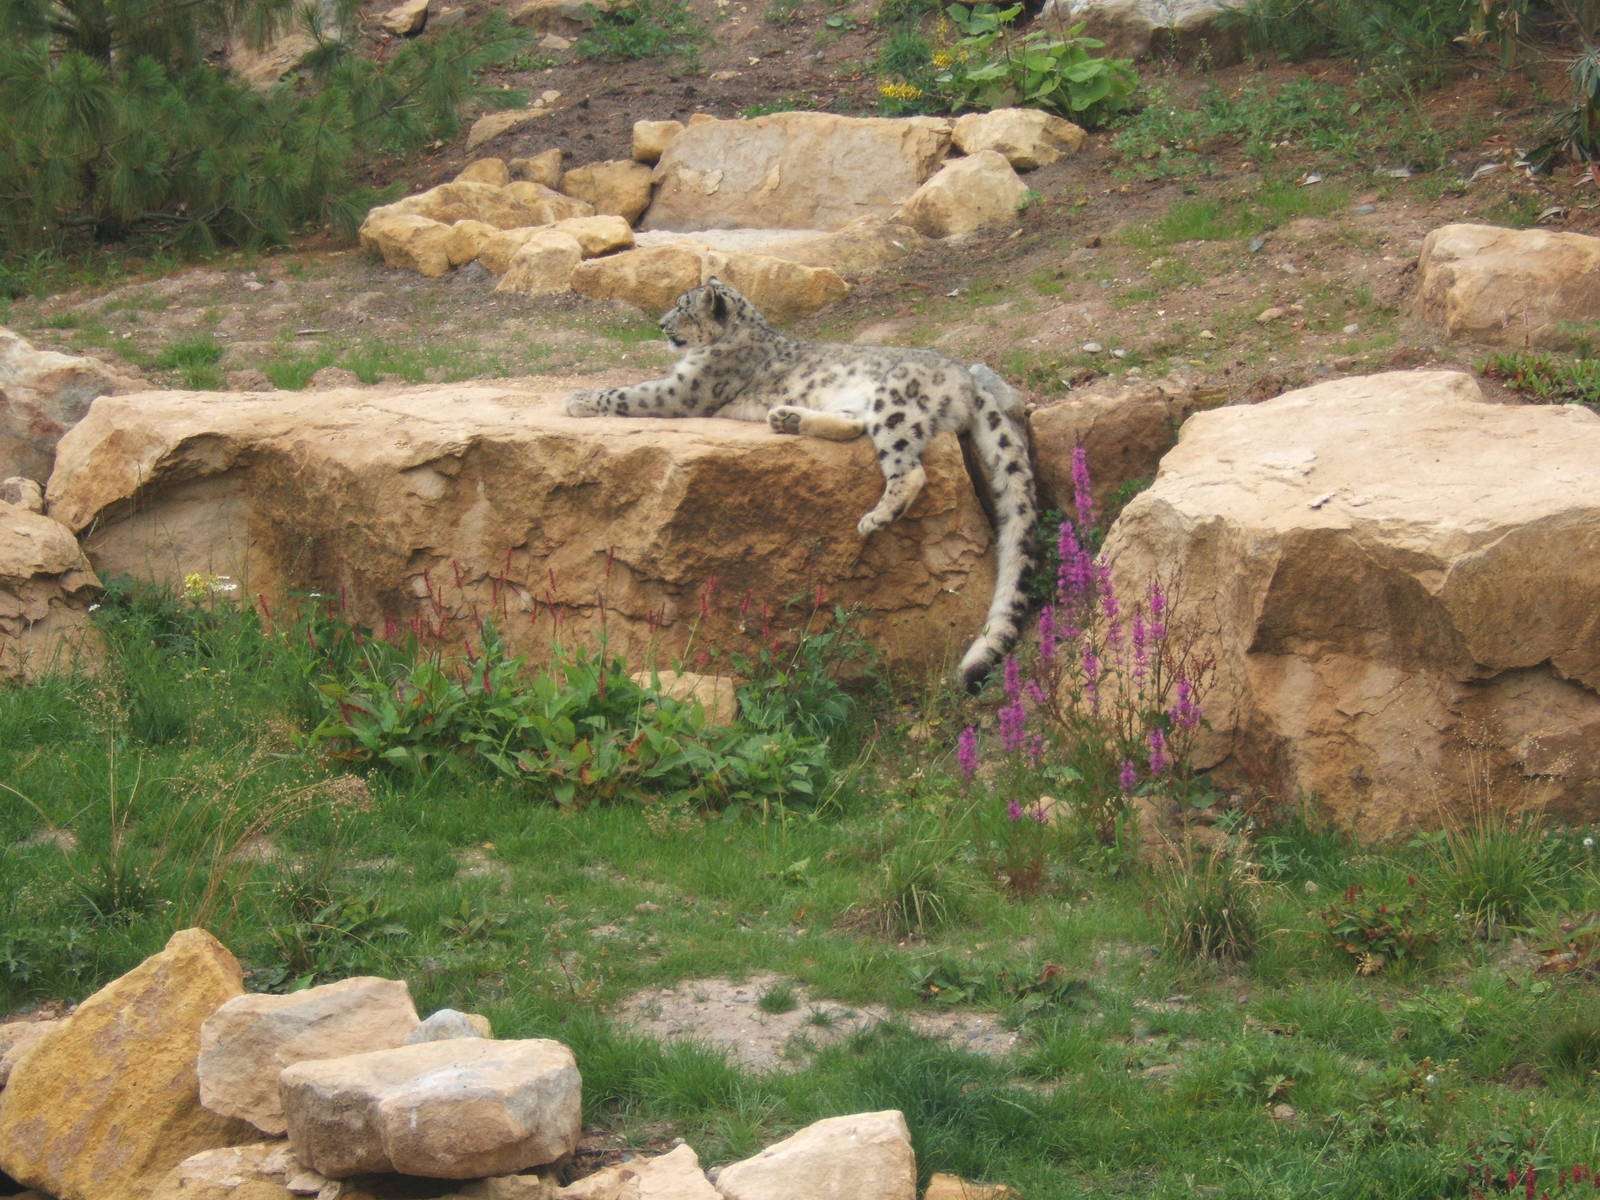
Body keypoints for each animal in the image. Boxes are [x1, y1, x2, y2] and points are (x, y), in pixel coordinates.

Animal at [563, 277, 1037, 691]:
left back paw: (874, 517)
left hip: (896, 406)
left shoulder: (685, 389)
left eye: (683, 306)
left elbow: (628, 392)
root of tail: (967, 377)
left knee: (909, 467)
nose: (661, 325)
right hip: (860, 404)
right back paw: (787, 417)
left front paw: (577, 399)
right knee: (855, 426)